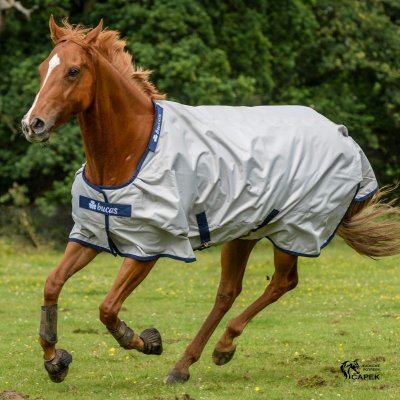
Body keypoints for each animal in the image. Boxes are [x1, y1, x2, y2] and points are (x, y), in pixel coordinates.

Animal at [21, 18, 400, 384]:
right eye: (42, 69)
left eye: (73, 71)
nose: (32, 124)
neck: (131, 150)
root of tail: (344, 137)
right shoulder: (93, 234)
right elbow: (52, 284)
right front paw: (54, 360)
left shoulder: (149, 246)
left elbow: (108, 308)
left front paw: (148, 341)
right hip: (245, 232)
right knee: (228, 292)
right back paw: (190, 362)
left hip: (294, 232)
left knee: (282, 282)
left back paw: (217, 348)